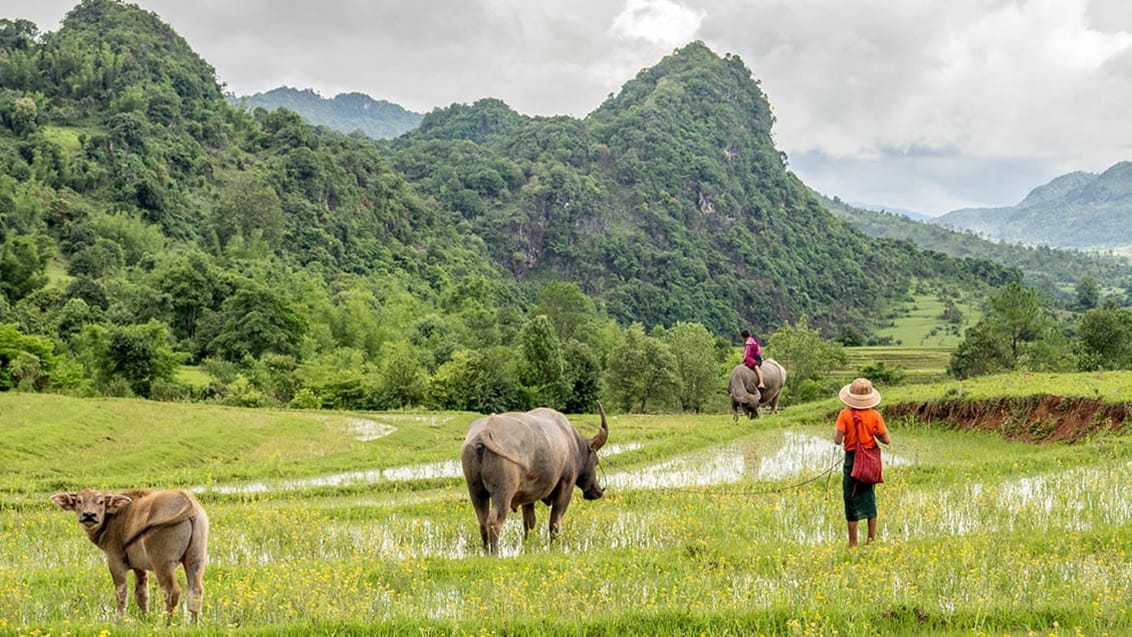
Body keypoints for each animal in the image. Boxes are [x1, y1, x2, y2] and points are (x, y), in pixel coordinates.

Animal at [52, 488, 210, 624]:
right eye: (79, 501)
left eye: (101, 502)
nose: (89, 515)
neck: (114, 518)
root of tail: (187, 501)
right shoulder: (139, 567)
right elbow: (141, 594)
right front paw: (145, 617)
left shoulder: (115, 562)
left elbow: (121, 593)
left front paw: (120, 620)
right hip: (195, 558)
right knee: (196, 591)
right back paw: (193, 623)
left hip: (163, 563)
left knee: (172, 592)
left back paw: (166, 624)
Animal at [457, 407, 611, 556]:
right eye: (596, 461)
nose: (598, 491)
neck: (571, 442)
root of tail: (485, 432)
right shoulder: (566, 484)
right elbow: (555, 521)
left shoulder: (527, 497)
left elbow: (529, 523)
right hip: (503, 493)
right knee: (494, 521)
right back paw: (495, 553)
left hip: (476, 492)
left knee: (483, 522)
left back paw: (485, 551)